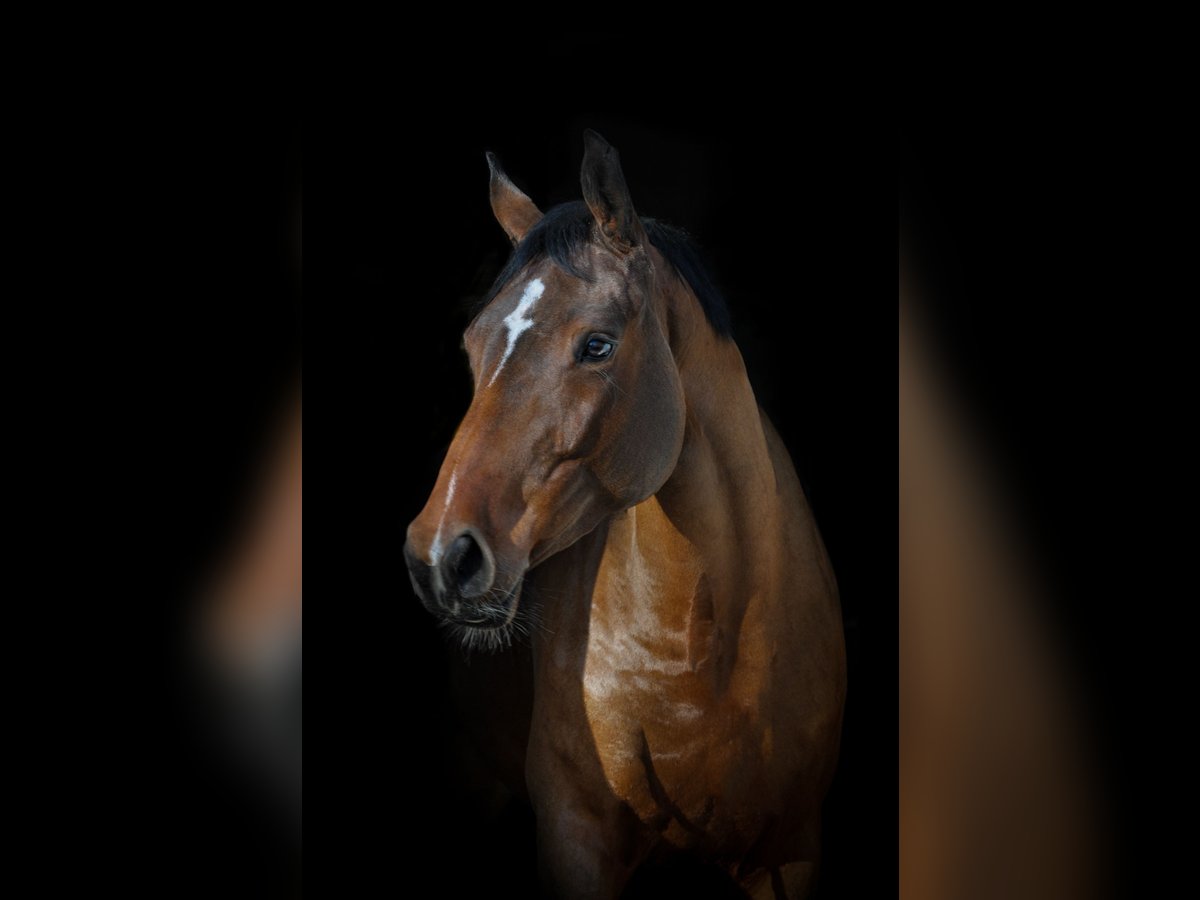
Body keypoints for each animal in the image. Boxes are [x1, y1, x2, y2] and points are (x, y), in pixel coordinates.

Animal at [404, 130, 846, 899]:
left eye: (598, 345)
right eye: (472, 344)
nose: (441, 557)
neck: (708, 654)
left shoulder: (790, 852)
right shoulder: (577, 841)